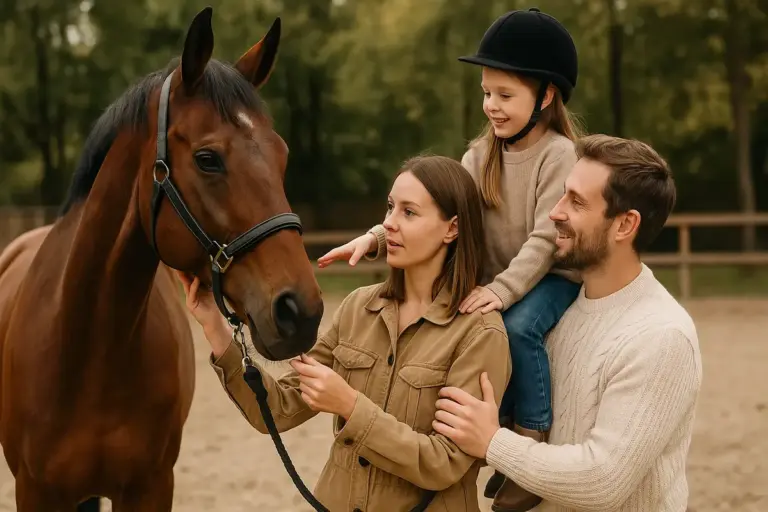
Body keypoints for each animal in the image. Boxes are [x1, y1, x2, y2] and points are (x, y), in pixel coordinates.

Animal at [0, 7, 324, 511]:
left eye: (282, 155)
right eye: (208, 158)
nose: (301, 312)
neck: (90, 351)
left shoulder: (151, 486)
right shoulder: (35, 491)